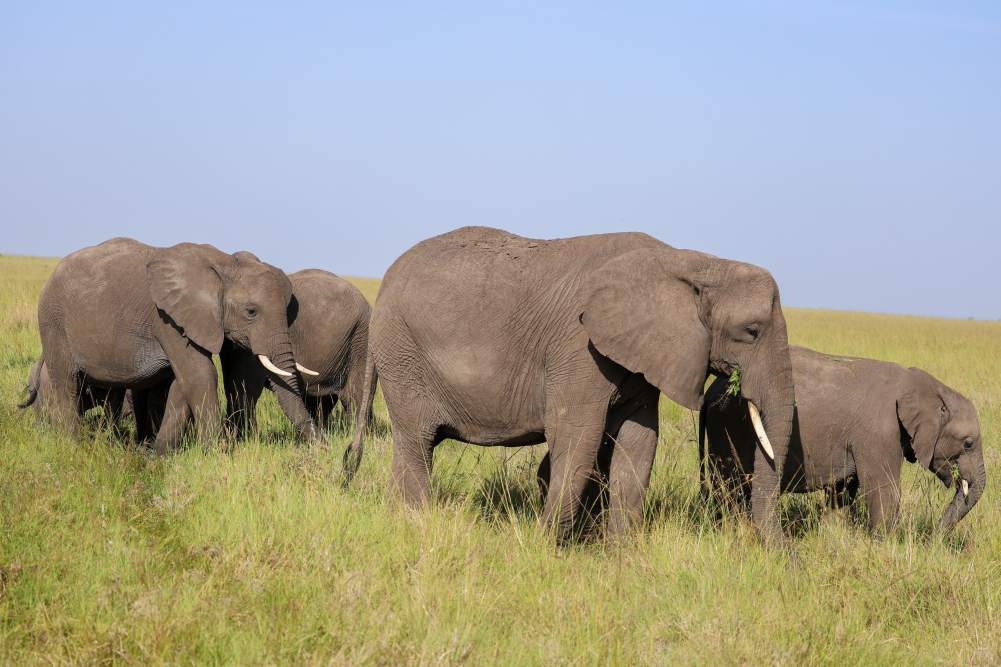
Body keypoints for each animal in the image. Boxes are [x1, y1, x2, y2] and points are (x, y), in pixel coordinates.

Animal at [36, 238, 321, 453]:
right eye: (251, 311)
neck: (224, 263)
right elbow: (201, 374)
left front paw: (158, 453)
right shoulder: (168, 319)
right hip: (53, 321)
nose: (320, 444)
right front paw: (215, 453)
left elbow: (191, 381)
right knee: (66, 382)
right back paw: (72, 445)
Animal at [349, 226, 795, 543]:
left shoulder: (641, 354)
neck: (694, 262)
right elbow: (577, 436)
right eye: (752, 331)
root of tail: (384, 283)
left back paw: (401, 520)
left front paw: (622, 555)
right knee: (417, 442)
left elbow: (639, 442)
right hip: (403, 355)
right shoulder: (580, 349)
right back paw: (416, 523)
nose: (783, 558)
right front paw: (546, 548)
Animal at [699, 345, 986, 534]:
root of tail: (710, 390)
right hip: (729, 425)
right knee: (731, 488)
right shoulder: (880, 433)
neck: (925, 386)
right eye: (968, 443)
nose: (933, 536)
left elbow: (843, 491)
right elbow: (884, 492)